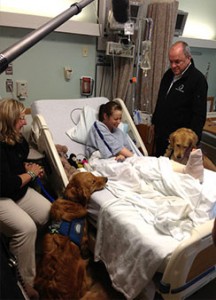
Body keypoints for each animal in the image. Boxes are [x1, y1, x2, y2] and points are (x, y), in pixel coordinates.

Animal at [34, 171, 109, 300]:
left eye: (94, 175)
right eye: (93, 181)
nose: (106, 178)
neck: (72, 201)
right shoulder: (84, 239)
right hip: (80, 266)